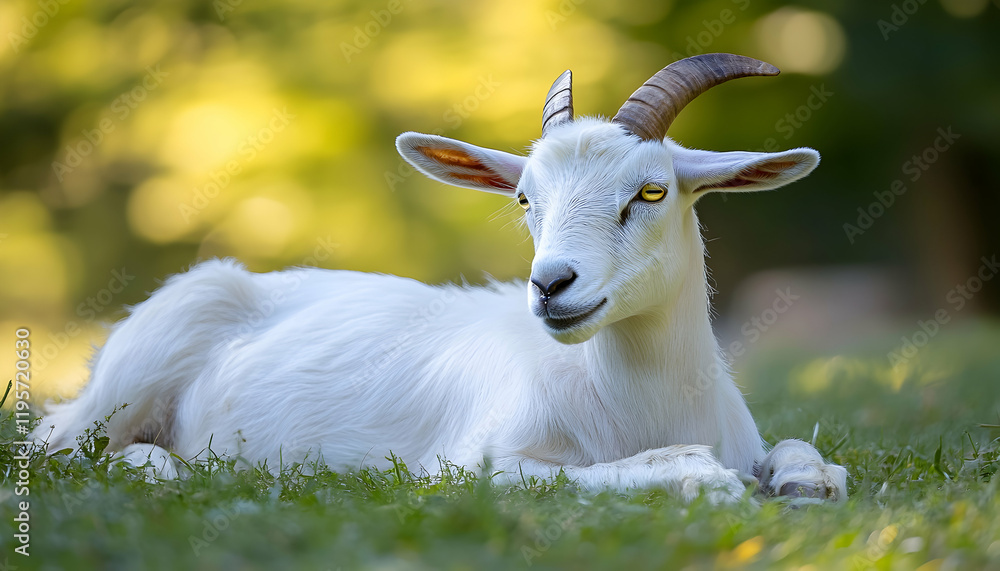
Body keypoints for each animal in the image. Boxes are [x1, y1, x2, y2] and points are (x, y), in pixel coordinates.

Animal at [36, 54, 847, 502]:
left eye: (651, 191)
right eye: (525, 198)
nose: (551, 286)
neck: (645, 406)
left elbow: (805, 455)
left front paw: (805, 481)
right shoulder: (466, 466)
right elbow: (579, 473)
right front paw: (702, 481)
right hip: (130, 373)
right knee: (59, 444)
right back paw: (163, 467)